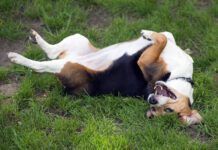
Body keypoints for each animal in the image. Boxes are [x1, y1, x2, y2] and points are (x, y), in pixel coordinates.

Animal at [8, 29, 203, 125]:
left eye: (167, 111)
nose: (151, 100)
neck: (180, 75)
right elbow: (166, 36)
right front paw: (148, 34)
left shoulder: (145, 61)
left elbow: (161, 39)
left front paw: (148, 34)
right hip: (78, 39)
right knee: (51, 51)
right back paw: (35, 38)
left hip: (65, 66)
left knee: (42, 65)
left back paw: (17, 57)